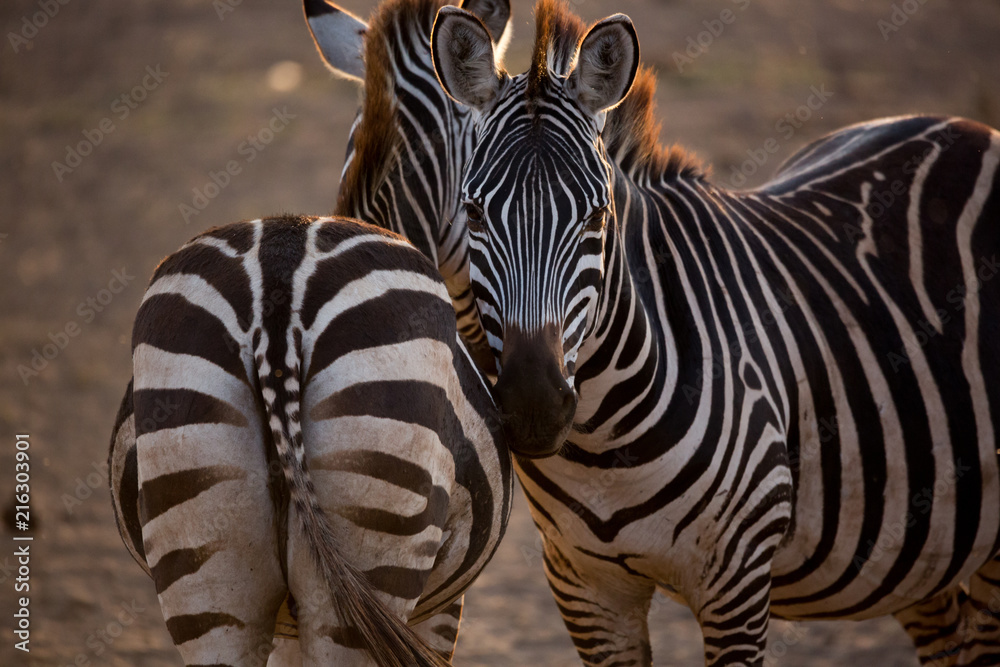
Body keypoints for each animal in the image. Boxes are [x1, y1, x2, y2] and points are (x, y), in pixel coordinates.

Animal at [430, 0, 1000, 664]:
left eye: (598, 215)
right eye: (473, 213)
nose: (534, 407)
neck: (604, 446)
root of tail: (967, 126)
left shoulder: (738, 582)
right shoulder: (584, 586)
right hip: (917, 545)